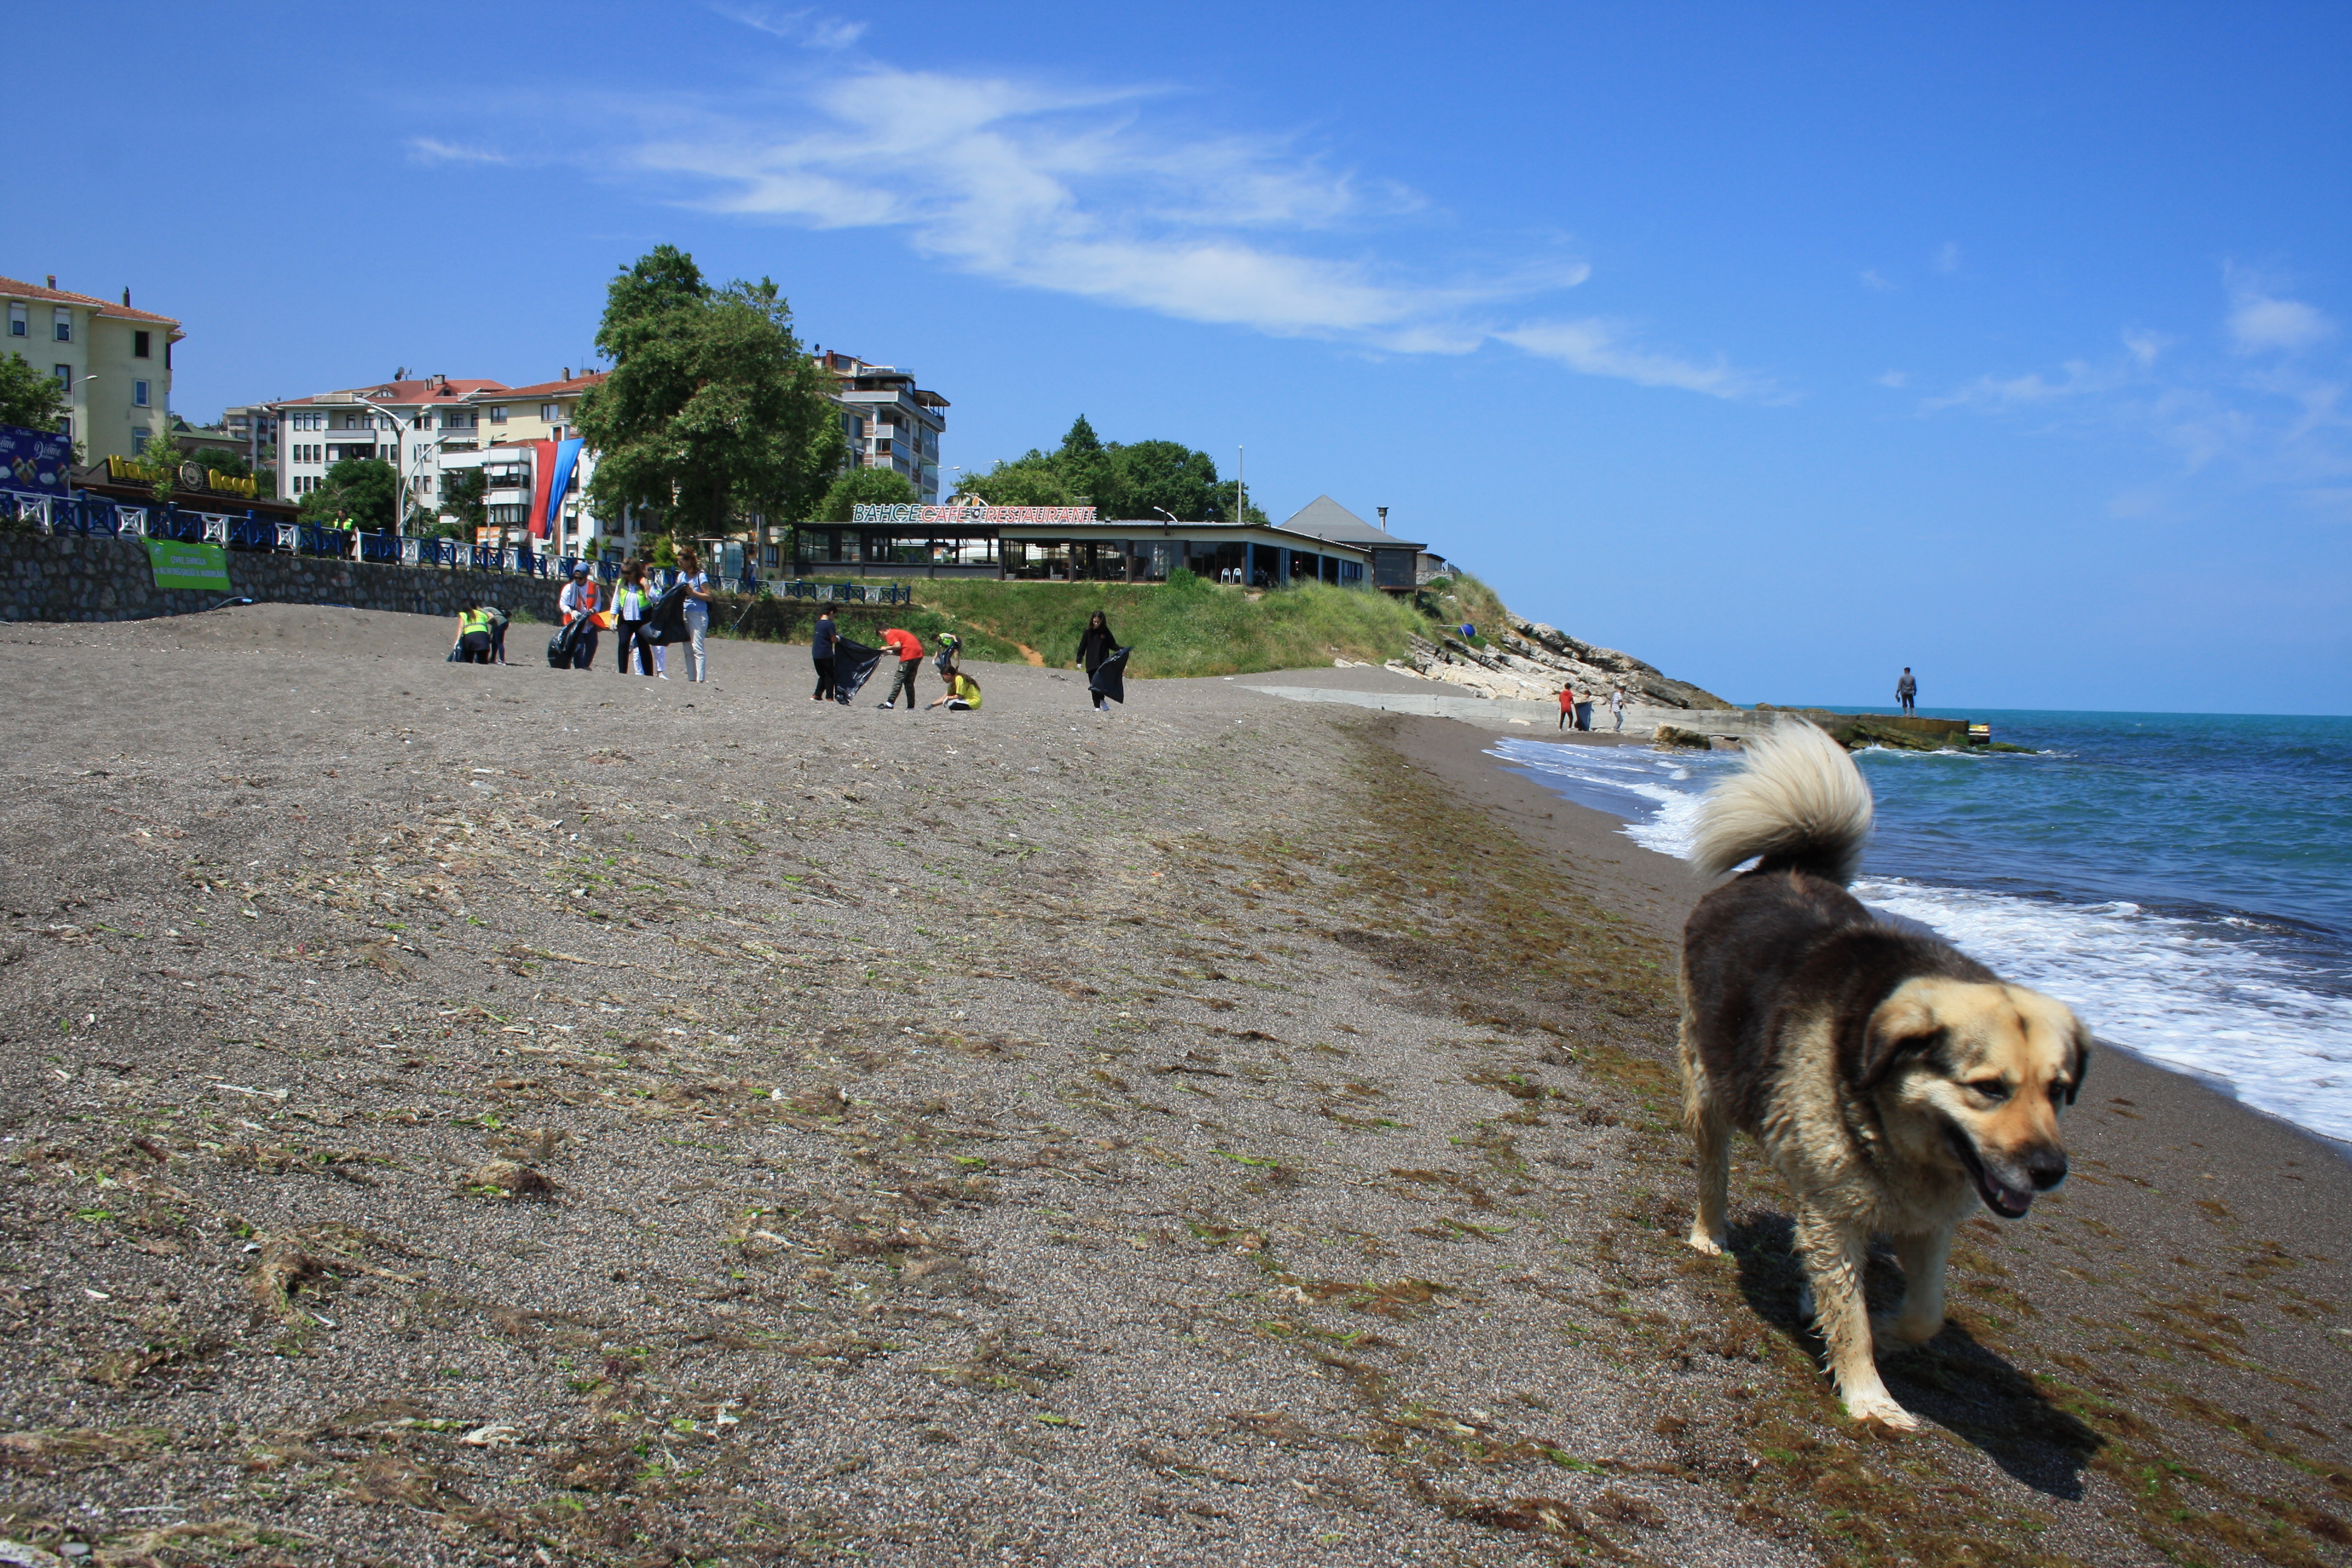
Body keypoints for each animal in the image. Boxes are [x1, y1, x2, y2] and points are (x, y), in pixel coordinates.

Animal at [1674, 719, 2098, 1429]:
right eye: (1989, 1089)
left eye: (2058, 1092)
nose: (2049, 1171)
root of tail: (1786, 867)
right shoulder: (1835, 1210)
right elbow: (1851, 1317)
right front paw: (1869, 1395)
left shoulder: (1927, 1221)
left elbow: (1925, 1314)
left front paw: (1891, 1328)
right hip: (1711, 1085)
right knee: (1714, 1168)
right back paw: (1710, 1233)